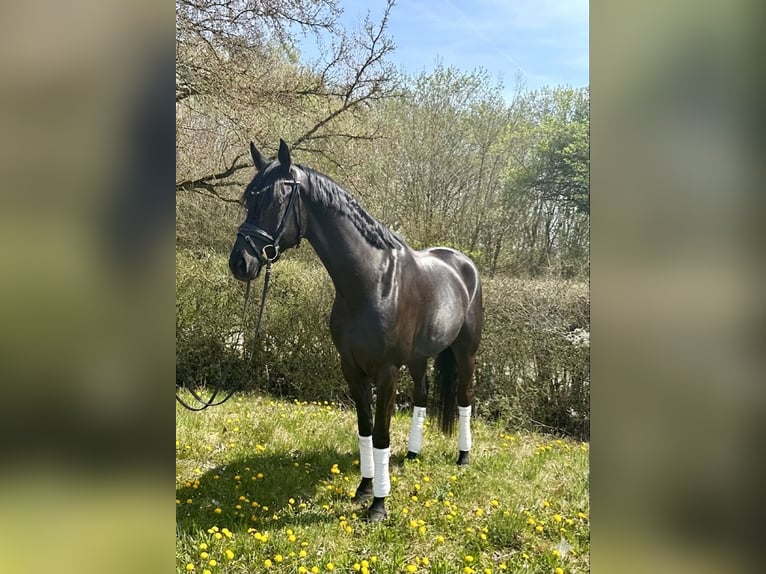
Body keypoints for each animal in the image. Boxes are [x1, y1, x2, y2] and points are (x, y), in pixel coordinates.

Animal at [228, 139, 483, 521]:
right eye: (248, 200)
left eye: (274, 201)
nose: (240, 263)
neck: (372, 282)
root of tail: (463, 263)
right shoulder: (350, 367)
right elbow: (364, 430)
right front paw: (364, 488)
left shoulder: (387, 371)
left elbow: (380, 434)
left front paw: (378, 505)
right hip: (419, 358)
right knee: (422, 396)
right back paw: (412, 454)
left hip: (465, 353)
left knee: (465, 400)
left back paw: (463, 457)